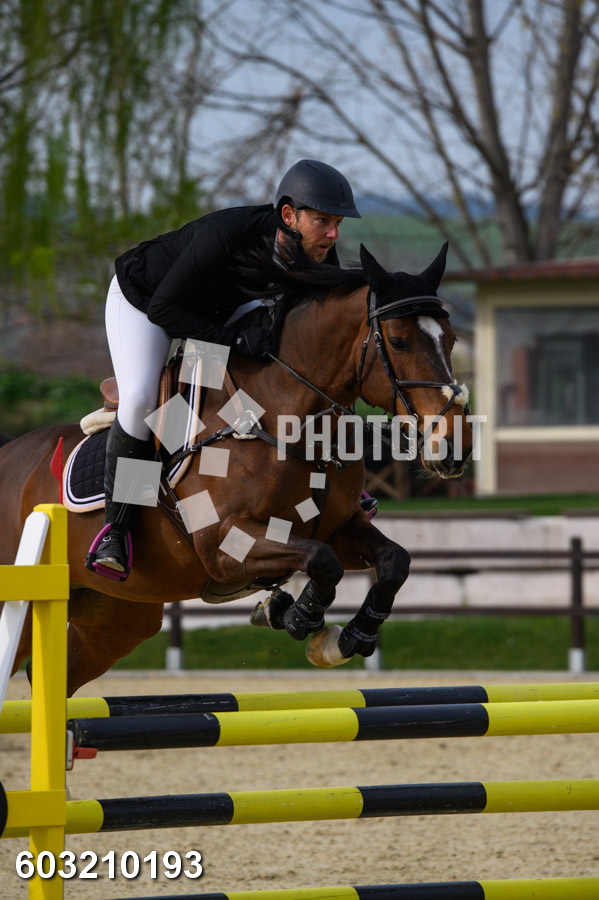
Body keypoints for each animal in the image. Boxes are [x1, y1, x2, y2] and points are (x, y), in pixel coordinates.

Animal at [0, 243, 472, 695]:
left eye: (450, 339)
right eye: (398, 341)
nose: (455, 445)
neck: (285, 420)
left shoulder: (340, 527)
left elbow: (394, 561)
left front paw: (345, 636)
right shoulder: (226, 544)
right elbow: (323, 561)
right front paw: (296, 616)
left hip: (118, 616)